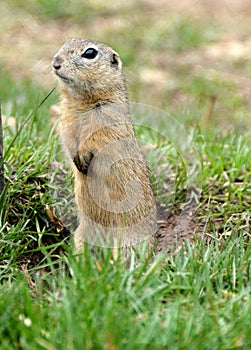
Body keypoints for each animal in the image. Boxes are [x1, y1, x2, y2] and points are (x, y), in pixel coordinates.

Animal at [51, 38, 157, 254]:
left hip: (127, 243)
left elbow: (97, 139)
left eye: (90, 53)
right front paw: (77, 160)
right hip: (81, 236)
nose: (55, 63)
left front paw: (82, 157)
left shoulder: (107, 120)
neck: (81, 100)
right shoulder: (66, 121)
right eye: (65, 42)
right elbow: (68, 140)